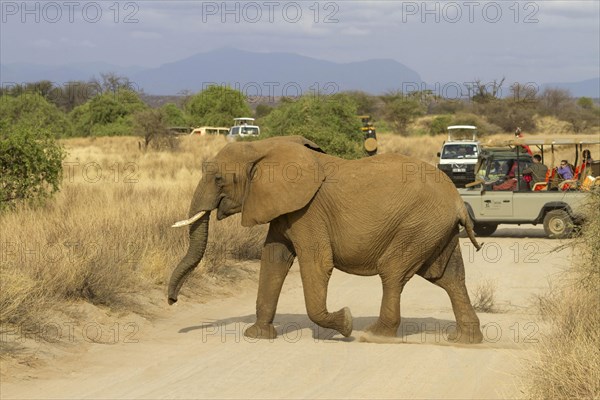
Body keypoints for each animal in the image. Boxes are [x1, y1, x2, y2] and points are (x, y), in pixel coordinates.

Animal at [166, 136, 486, 342]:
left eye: (219, 179)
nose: (171, 300)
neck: (264, 147)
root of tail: (458, 201)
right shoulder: (285, 210)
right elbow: (273, 260)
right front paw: (257, 336)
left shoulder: (309, 212)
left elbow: (316, 264)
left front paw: (344, 323)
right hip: (434, 229)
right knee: (450, 278)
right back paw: (464, 339)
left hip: (418, 225)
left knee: (394, 273)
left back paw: (374, 335)